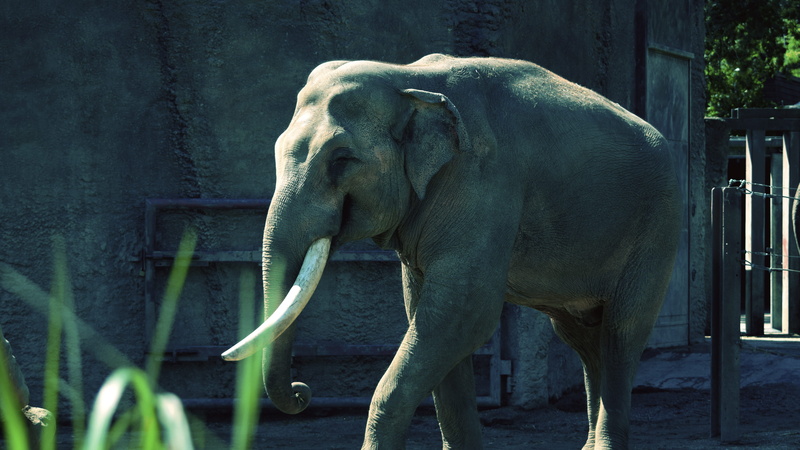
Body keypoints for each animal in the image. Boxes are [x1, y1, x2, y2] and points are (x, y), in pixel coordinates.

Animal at [223, 54, 681, 449]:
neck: (408, 79)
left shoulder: (483, 183)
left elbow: (462, 313)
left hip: (656, 227)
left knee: (622, 333)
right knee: (583, 339)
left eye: (342, 159)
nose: (303, 392)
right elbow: (431, 317)